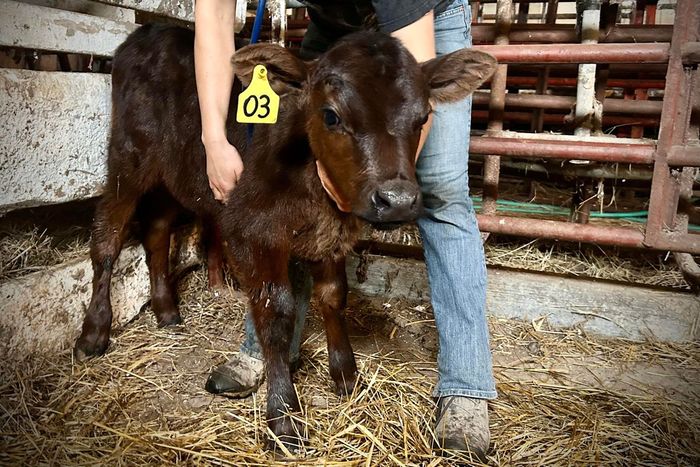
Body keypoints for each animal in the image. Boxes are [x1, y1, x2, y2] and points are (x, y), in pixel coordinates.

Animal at [74, 23, 494, 452]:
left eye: (422, 117)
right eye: (331, 115)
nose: (397, 200)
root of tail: (149, 30)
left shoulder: (330, 235)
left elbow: (333, 296)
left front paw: (346, 375)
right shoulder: (252, 230)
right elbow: (276, 313)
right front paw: (284, 415)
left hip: (173, 173)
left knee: (157, 230)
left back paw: (166, 310)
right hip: (128, 159)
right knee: (107, 238)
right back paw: (93, 333)